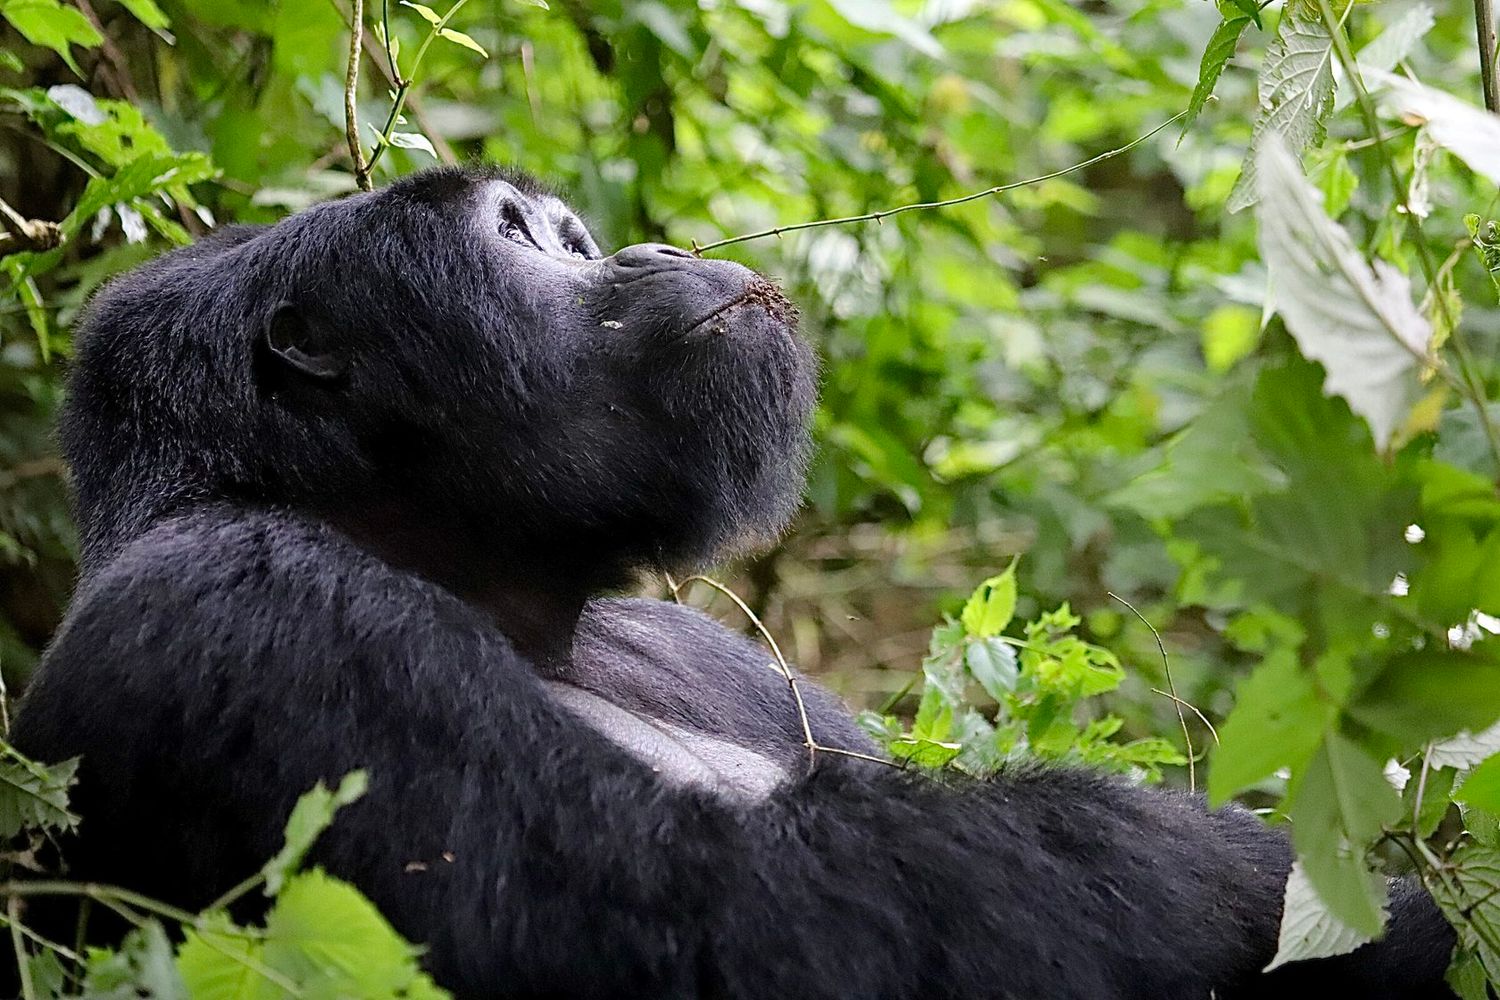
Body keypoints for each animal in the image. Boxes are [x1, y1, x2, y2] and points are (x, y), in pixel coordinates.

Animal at [11, 167, 1458, 995]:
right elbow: (742, 931)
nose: (636, 253)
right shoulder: (258, 610)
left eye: (571, 235)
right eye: (525, 241)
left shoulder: (702, 646)